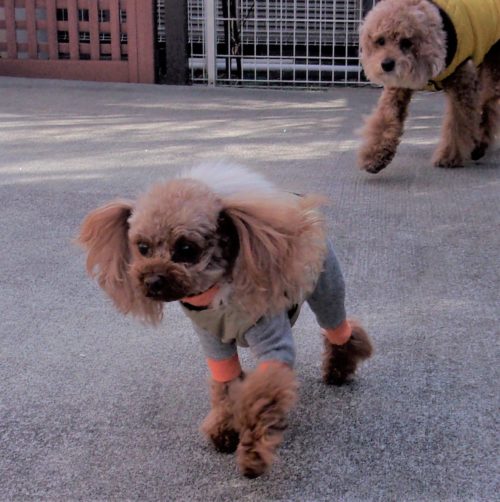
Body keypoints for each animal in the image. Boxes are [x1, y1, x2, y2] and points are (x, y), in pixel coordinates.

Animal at [77, 164, 373, 478]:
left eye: (186, 249)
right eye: (142, 248)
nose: (153, 280)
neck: (217, 293)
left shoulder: (274, 344)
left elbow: (261, 396)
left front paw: (254, 453)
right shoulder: (215, 345)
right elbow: (225, 389)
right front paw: (224, 431)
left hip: (326, 287)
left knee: (339, 326)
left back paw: (339, 369)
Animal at [358, 0, 500, 173]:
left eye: (406, 42)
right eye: (380, 41)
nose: (386, 65)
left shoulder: (462, 83)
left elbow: (458, 122)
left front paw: (449, 157)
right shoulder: (397, 88)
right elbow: (386, 118)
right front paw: (375, 156)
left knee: (489, 107)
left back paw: (479, 146)